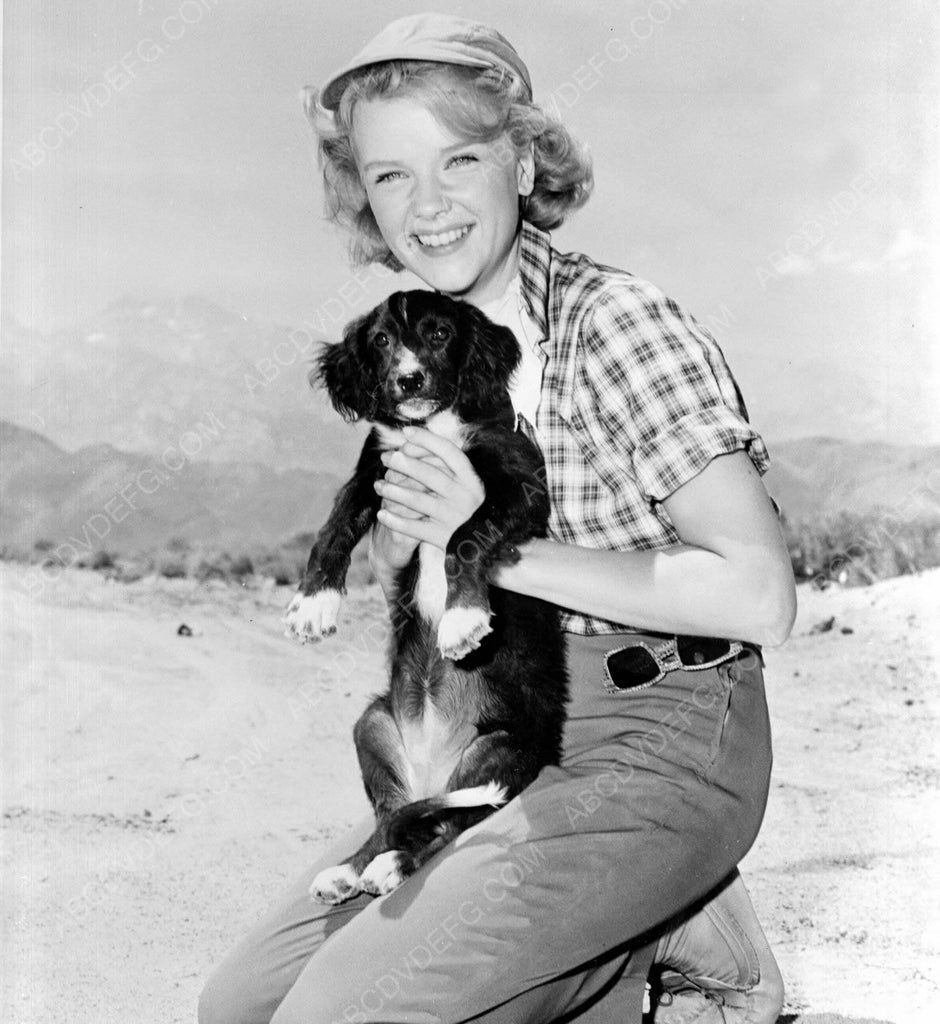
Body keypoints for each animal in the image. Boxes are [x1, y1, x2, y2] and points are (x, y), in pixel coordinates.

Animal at [284, 290, 568, 903]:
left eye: (440, 334)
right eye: (381, 341)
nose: (408, 379)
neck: (430, 430)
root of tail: (432, 770)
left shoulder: (518, 482)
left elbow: (464, 533)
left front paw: (462, 618)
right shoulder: (377, 470)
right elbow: (333, 528)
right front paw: (314, 604)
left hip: (496, 752)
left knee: (443, 827)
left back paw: (393, 866)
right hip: (372, 725)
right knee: (393, 816)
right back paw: (350, 870)